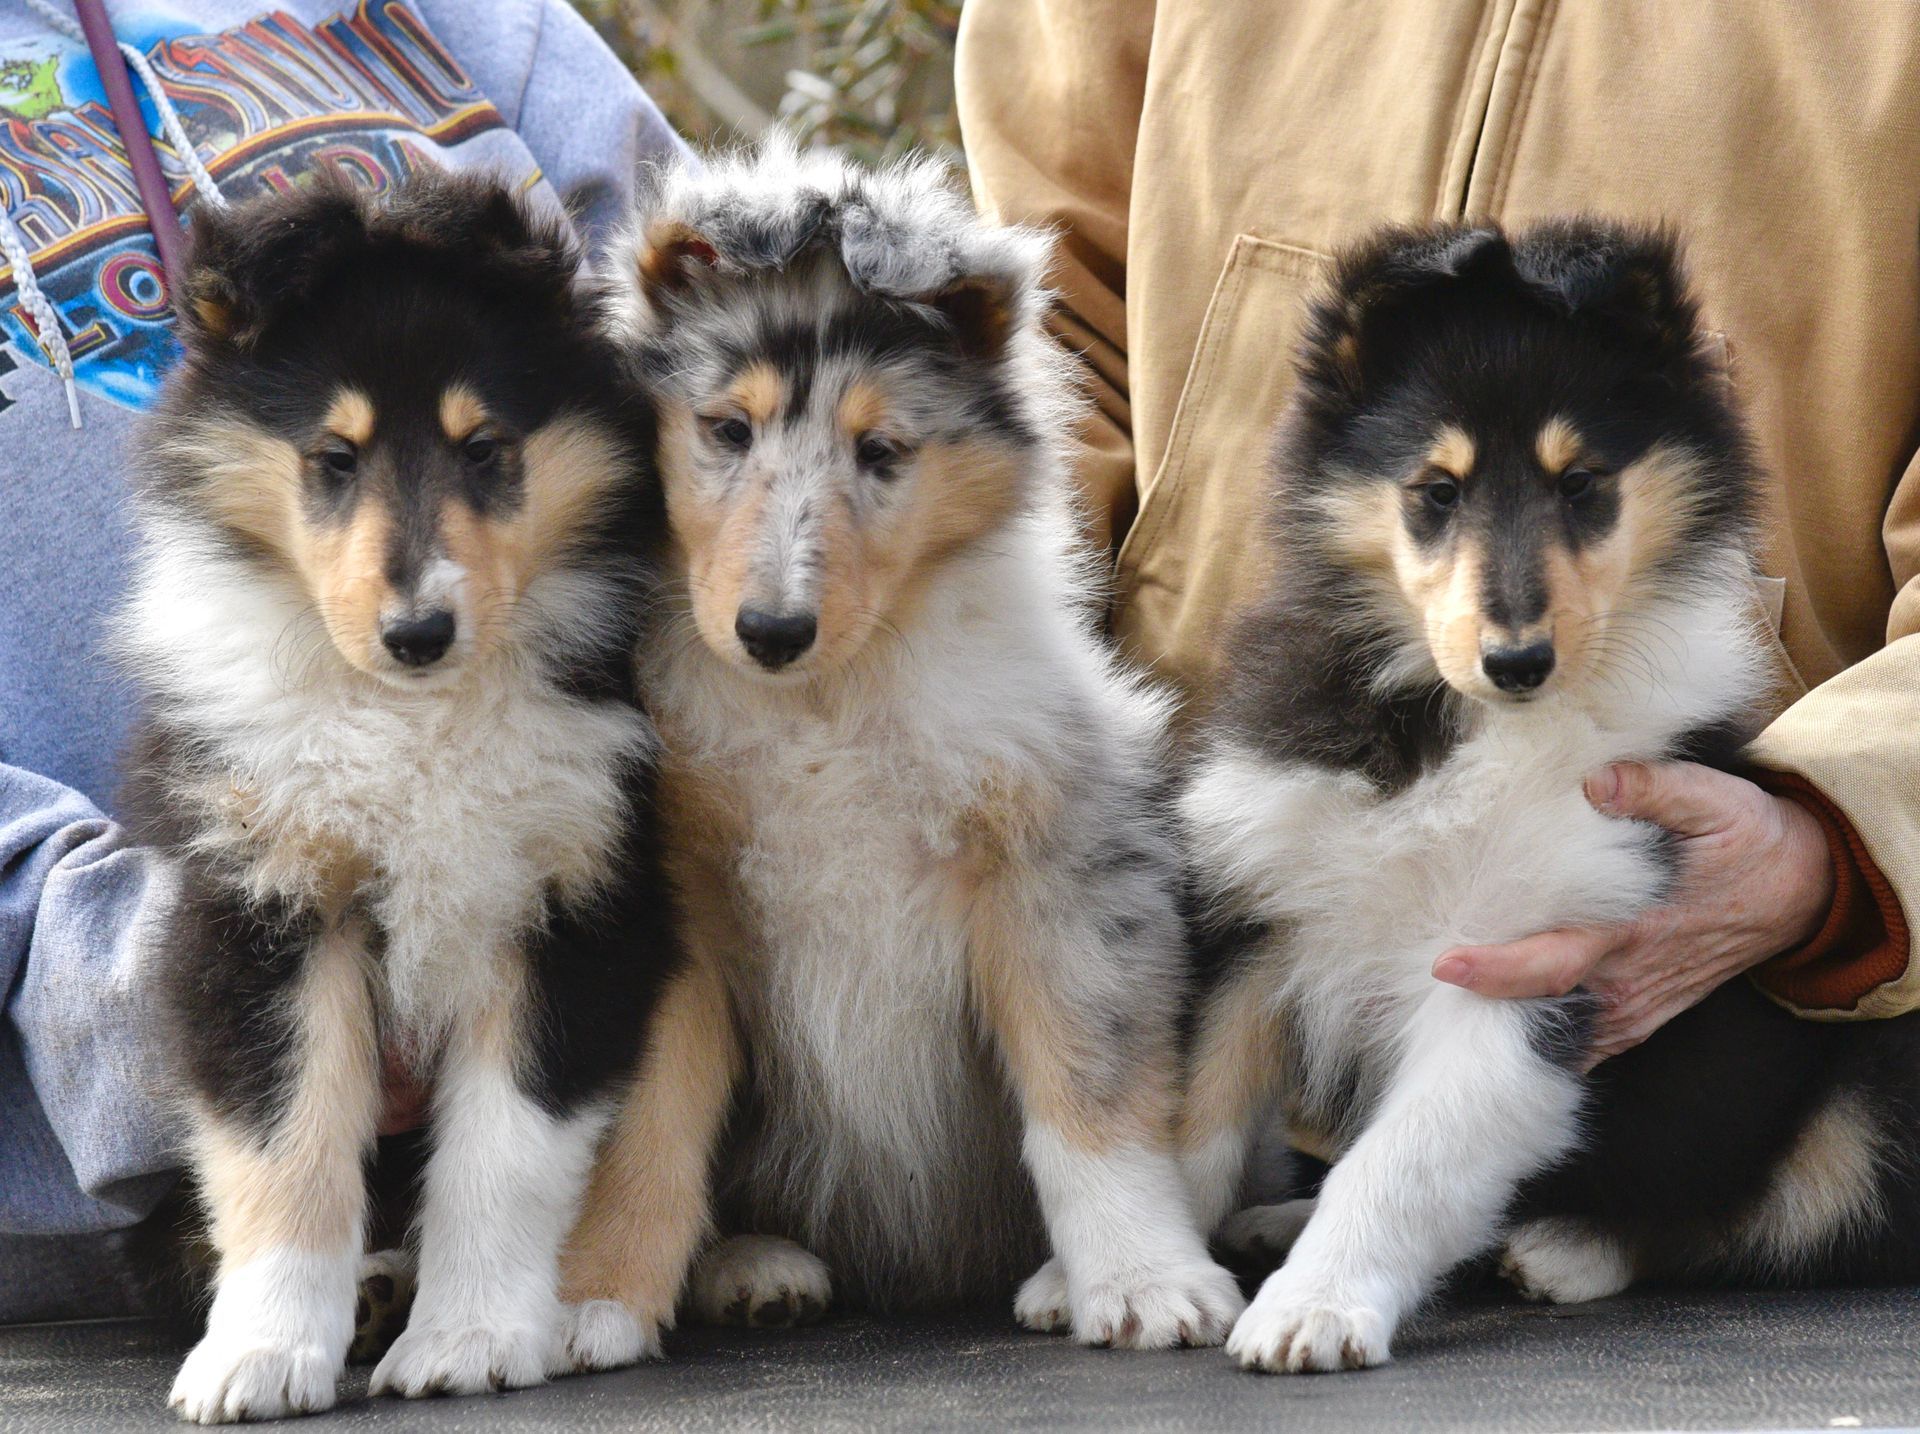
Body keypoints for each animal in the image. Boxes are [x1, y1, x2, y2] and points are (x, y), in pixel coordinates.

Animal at [116, 173, 679, 1420]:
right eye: (334, 456)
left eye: (487, 450)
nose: (420, 631)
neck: (415, 720)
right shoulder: (260, 903)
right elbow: (285, 1146)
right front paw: (261, 1356)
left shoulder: (571, 902)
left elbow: (505, 1154)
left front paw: (472, 1338)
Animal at [556, 143, 1244, 1366]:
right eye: (726, 432)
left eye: (881, 452)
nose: (772, 631)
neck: (823, 704)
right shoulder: (667, 903)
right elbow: (648, 1120)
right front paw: (596, 1296)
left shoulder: (1060, 864)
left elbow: (1089, 1090)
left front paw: (1143, 1280)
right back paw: (753, 1267)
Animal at [1182, 224, 1920, 1382]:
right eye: (1436, 490)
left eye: (1582, 485)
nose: (1518, 661)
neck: (1468, 731)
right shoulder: (1260, 912)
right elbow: (1191, 1112)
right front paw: (1131, 1275)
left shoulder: (1530, 964)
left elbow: (1403, 1160)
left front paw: (1315, 1309)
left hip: (1871, 1091)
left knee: (1775, 1217)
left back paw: (1562, 1248)